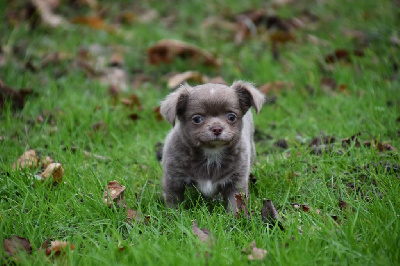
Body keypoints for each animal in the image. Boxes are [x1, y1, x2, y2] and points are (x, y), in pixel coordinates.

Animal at [159, 81, 266, 212]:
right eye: (197, 119)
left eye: (231, 117)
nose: (217, 128)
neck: (211, 153)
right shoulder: (173, 178)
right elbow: (173, 200)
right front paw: (173, 214)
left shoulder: (236, 181)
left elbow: (235, 203)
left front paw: (235, 216)